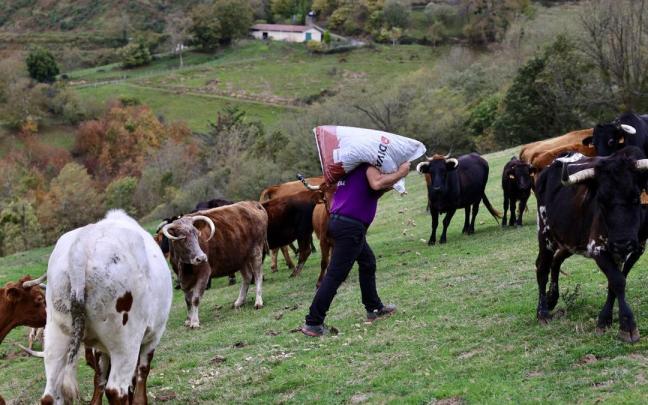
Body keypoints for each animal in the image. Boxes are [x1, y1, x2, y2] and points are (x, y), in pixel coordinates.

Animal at [35, 210, 172, 404]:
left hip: (56, 336)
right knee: (116, 391)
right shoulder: (153, 336)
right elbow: (141, 373)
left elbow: (100, 376)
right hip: (125, 342)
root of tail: (81, 245)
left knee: (49, 395)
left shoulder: (100, 349)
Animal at [534, 147, 648, 343]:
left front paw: (605, 320)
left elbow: (616, 280)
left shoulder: (636, 249)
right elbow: (618, 281)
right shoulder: (597, 249)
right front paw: (627, 326)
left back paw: (551, 299)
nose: (622, 243)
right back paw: (542, 313)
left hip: (570, 240)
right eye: (601, 200)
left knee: (556, 261)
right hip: (545, 235)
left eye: (636, 198)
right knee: (542, 268)